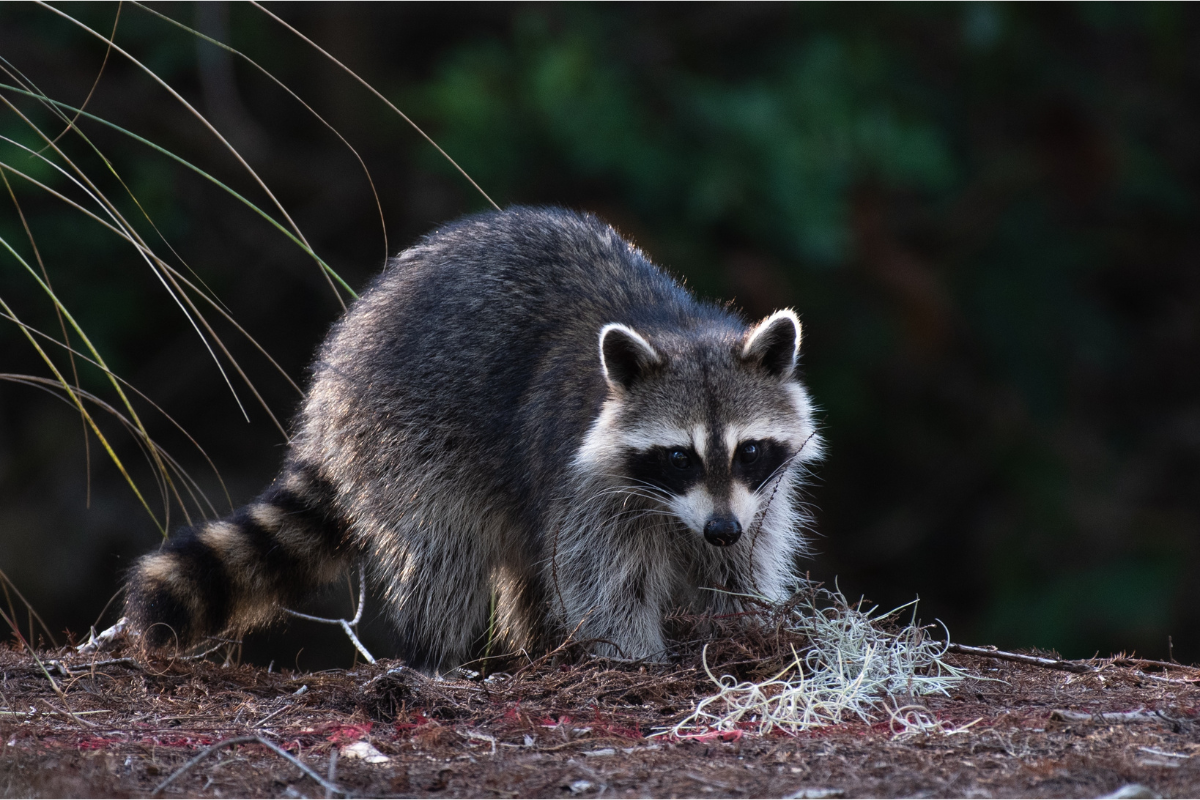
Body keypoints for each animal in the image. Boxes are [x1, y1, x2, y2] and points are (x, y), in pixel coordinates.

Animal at [129, 206, 825, 671]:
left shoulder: (754, 496)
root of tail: (334, 370)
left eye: (749, 450)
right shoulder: (583, 478)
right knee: (445, 552)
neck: (678, 328)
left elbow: (741, 563)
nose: (720, 529)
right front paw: (632, 656)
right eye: (678, 457)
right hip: (406, 437)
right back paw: (437, 657)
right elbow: (602, 578)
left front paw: (746, 626)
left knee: (526, 563)